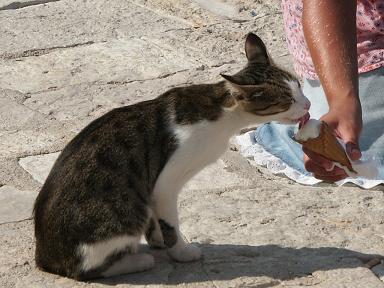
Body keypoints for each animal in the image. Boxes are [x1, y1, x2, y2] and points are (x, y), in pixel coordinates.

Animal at [32, 32, 308, 280]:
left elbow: (157, 224)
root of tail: (45, 258)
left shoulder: (152, 189)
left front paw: (156, 240)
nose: (307, 104)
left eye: (299, 86)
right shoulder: (165, 184)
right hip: (127, 212)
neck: (222, 111)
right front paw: (181, 252)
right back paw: (138, 261)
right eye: (287, 100)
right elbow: (171, 225)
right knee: (86, 270)